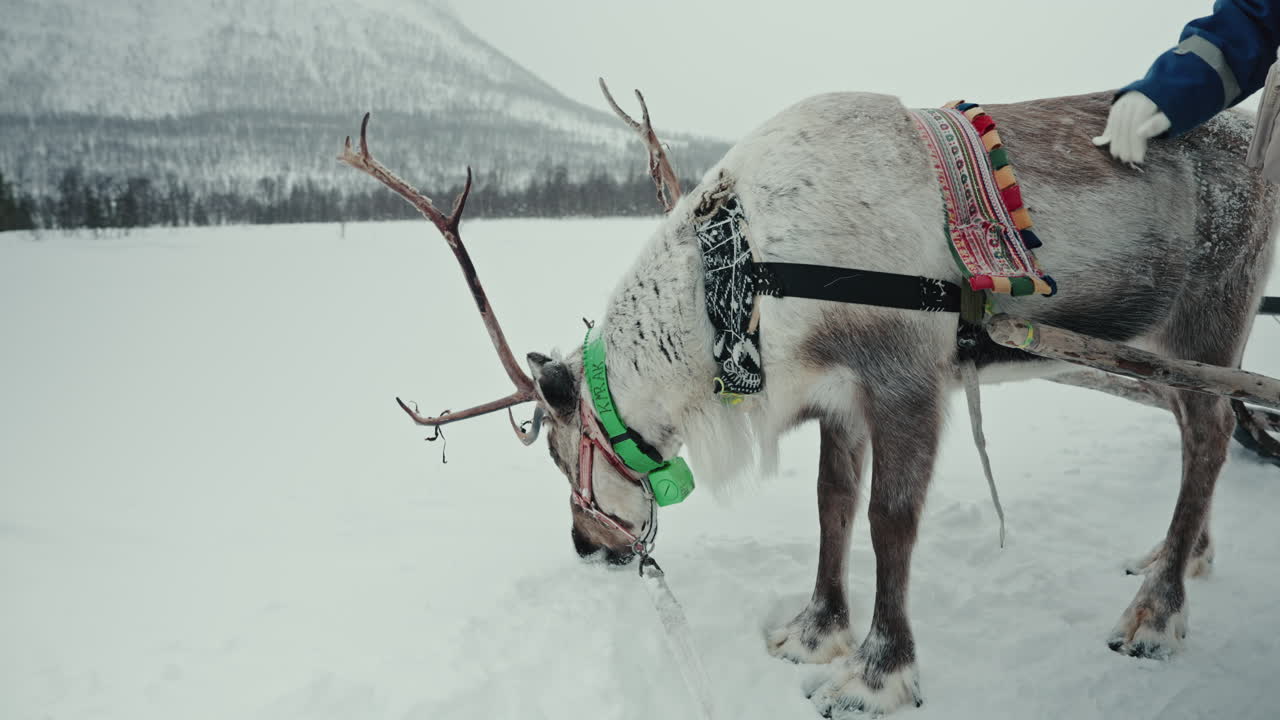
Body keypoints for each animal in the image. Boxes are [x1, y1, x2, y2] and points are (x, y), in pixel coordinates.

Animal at [339, 80, 1278, 717]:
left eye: (566, 450)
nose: (585, 546)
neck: (743, 275)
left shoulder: (907, 379)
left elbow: (889, 523)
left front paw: (876, 673)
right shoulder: (833, 394)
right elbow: (832, 505)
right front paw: (815, 629)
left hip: (1209, 315)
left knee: (1210, 428)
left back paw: (1156, 613)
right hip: (1163, 347)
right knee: (1198, 428)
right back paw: (1176, 556)